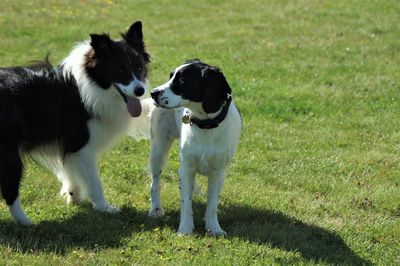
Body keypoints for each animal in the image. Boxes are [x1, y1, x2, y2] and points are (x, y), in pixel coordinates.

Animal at [0, 21, 152, 224]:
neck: (90, 84)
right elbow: (94, 181)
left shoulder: (70, 146)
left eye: (140, 68)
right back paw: (25, 222)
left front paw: (73, 195)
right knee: (10, 189)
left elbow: (70, 171)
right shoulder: (82, 144)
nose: (140, 90)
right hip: (10, 153)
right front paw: (105, 207)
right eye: (120, 70)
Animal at [150, 60, 242, 235]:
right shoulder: (186, 168)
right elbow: (186, 202)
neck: (205, 124)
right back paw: (155, 209)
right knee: (155, 182)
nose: (153, 92)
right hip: (158, 150)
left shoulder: (218, 172)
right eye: (170, 76)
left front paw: (214, 228)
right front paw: (185, 229)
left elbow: (212, 204)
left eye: (182, 80)